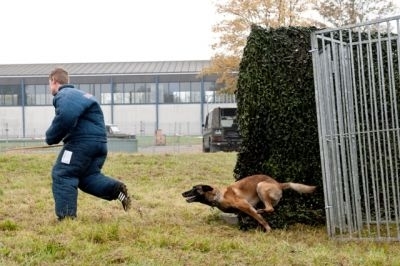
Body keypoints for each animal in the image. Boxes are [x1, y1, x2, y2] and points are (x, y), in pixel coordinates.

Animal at [181, 174, 316, 232]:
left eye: (195, 189)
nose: (182, 193)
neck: (218, 195)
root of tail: (278, 184)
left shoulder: (245, 205)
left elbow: (260, 219)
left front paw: (268, 229)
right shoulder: (241, 212)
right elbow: (244, 219)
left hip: (260, 186)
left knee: (270, 209)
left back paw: (261, 211)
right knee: (271, 209)